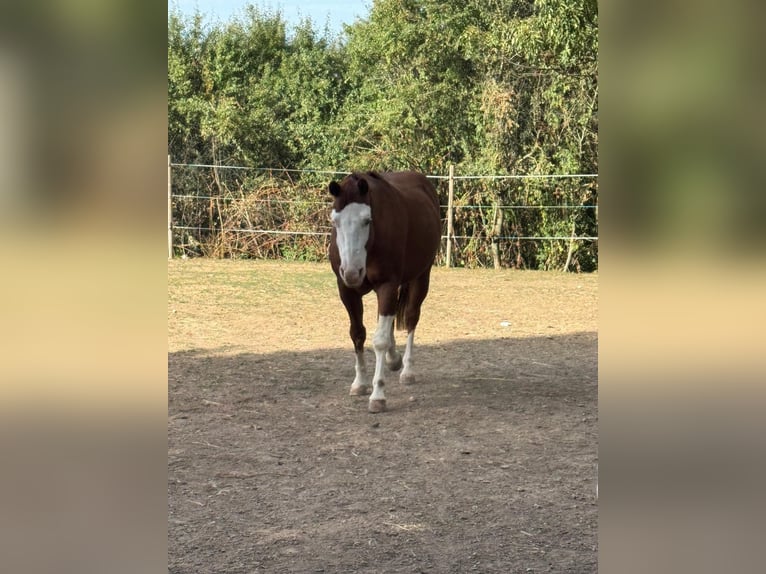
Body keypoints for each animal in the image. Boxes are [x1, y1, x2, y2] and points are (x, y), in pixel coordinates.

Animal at [328, 170, 441, 413]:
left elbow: (379, 340)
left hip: (421, 277)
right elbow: (357, 333)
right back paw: (393, 359)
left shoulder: (387, 285)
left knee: (411, 318)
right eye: (335, 221)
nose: (352, 272)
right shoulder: (346, 290)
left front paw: (378, 395)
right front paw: (360, 383)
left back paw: (407, 370)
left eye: (367, 220)